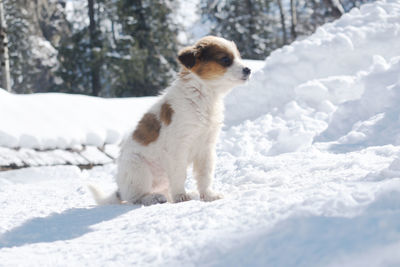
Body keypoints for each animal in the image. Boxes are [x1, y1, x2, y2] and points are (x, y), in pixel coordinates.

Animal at [90, 35, 252, 206]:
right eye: (225, 60)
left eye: (239, 56)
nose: (248, 70)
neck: (203, 95)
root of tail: (120, 188)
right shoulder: (178, 147)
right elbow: (180, 174)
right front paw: (181, 196)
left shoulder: (206, 148)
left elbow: (205, 175)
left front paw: (208, 195)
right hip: (138, 168)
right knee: (136, 197)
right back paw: (153, 198)